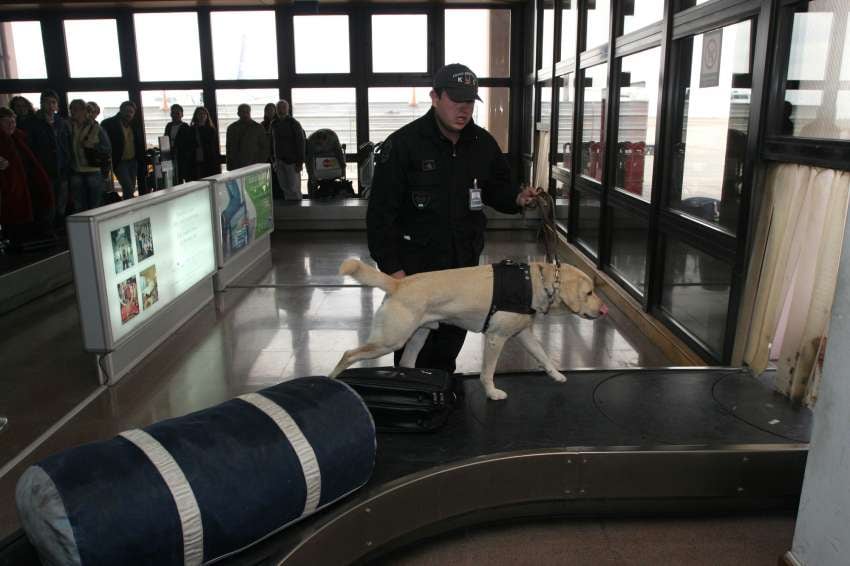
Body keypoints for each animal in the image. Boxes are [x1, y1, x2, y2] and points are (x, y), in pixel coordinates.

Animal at [324, 260, 604, 402]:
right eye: (589, 293)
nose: (604, 311)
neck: (537, 282)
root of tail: (398, 283)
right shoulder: (496, 339)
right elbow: (488, 372)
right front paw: (491, 393)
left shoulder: (523, 334)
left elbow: (544, 356)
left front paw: (557, 375)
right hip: (390, 340)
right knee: (348, 354)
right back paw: (332, 381)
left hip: (416, 336)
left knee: (405, 362)